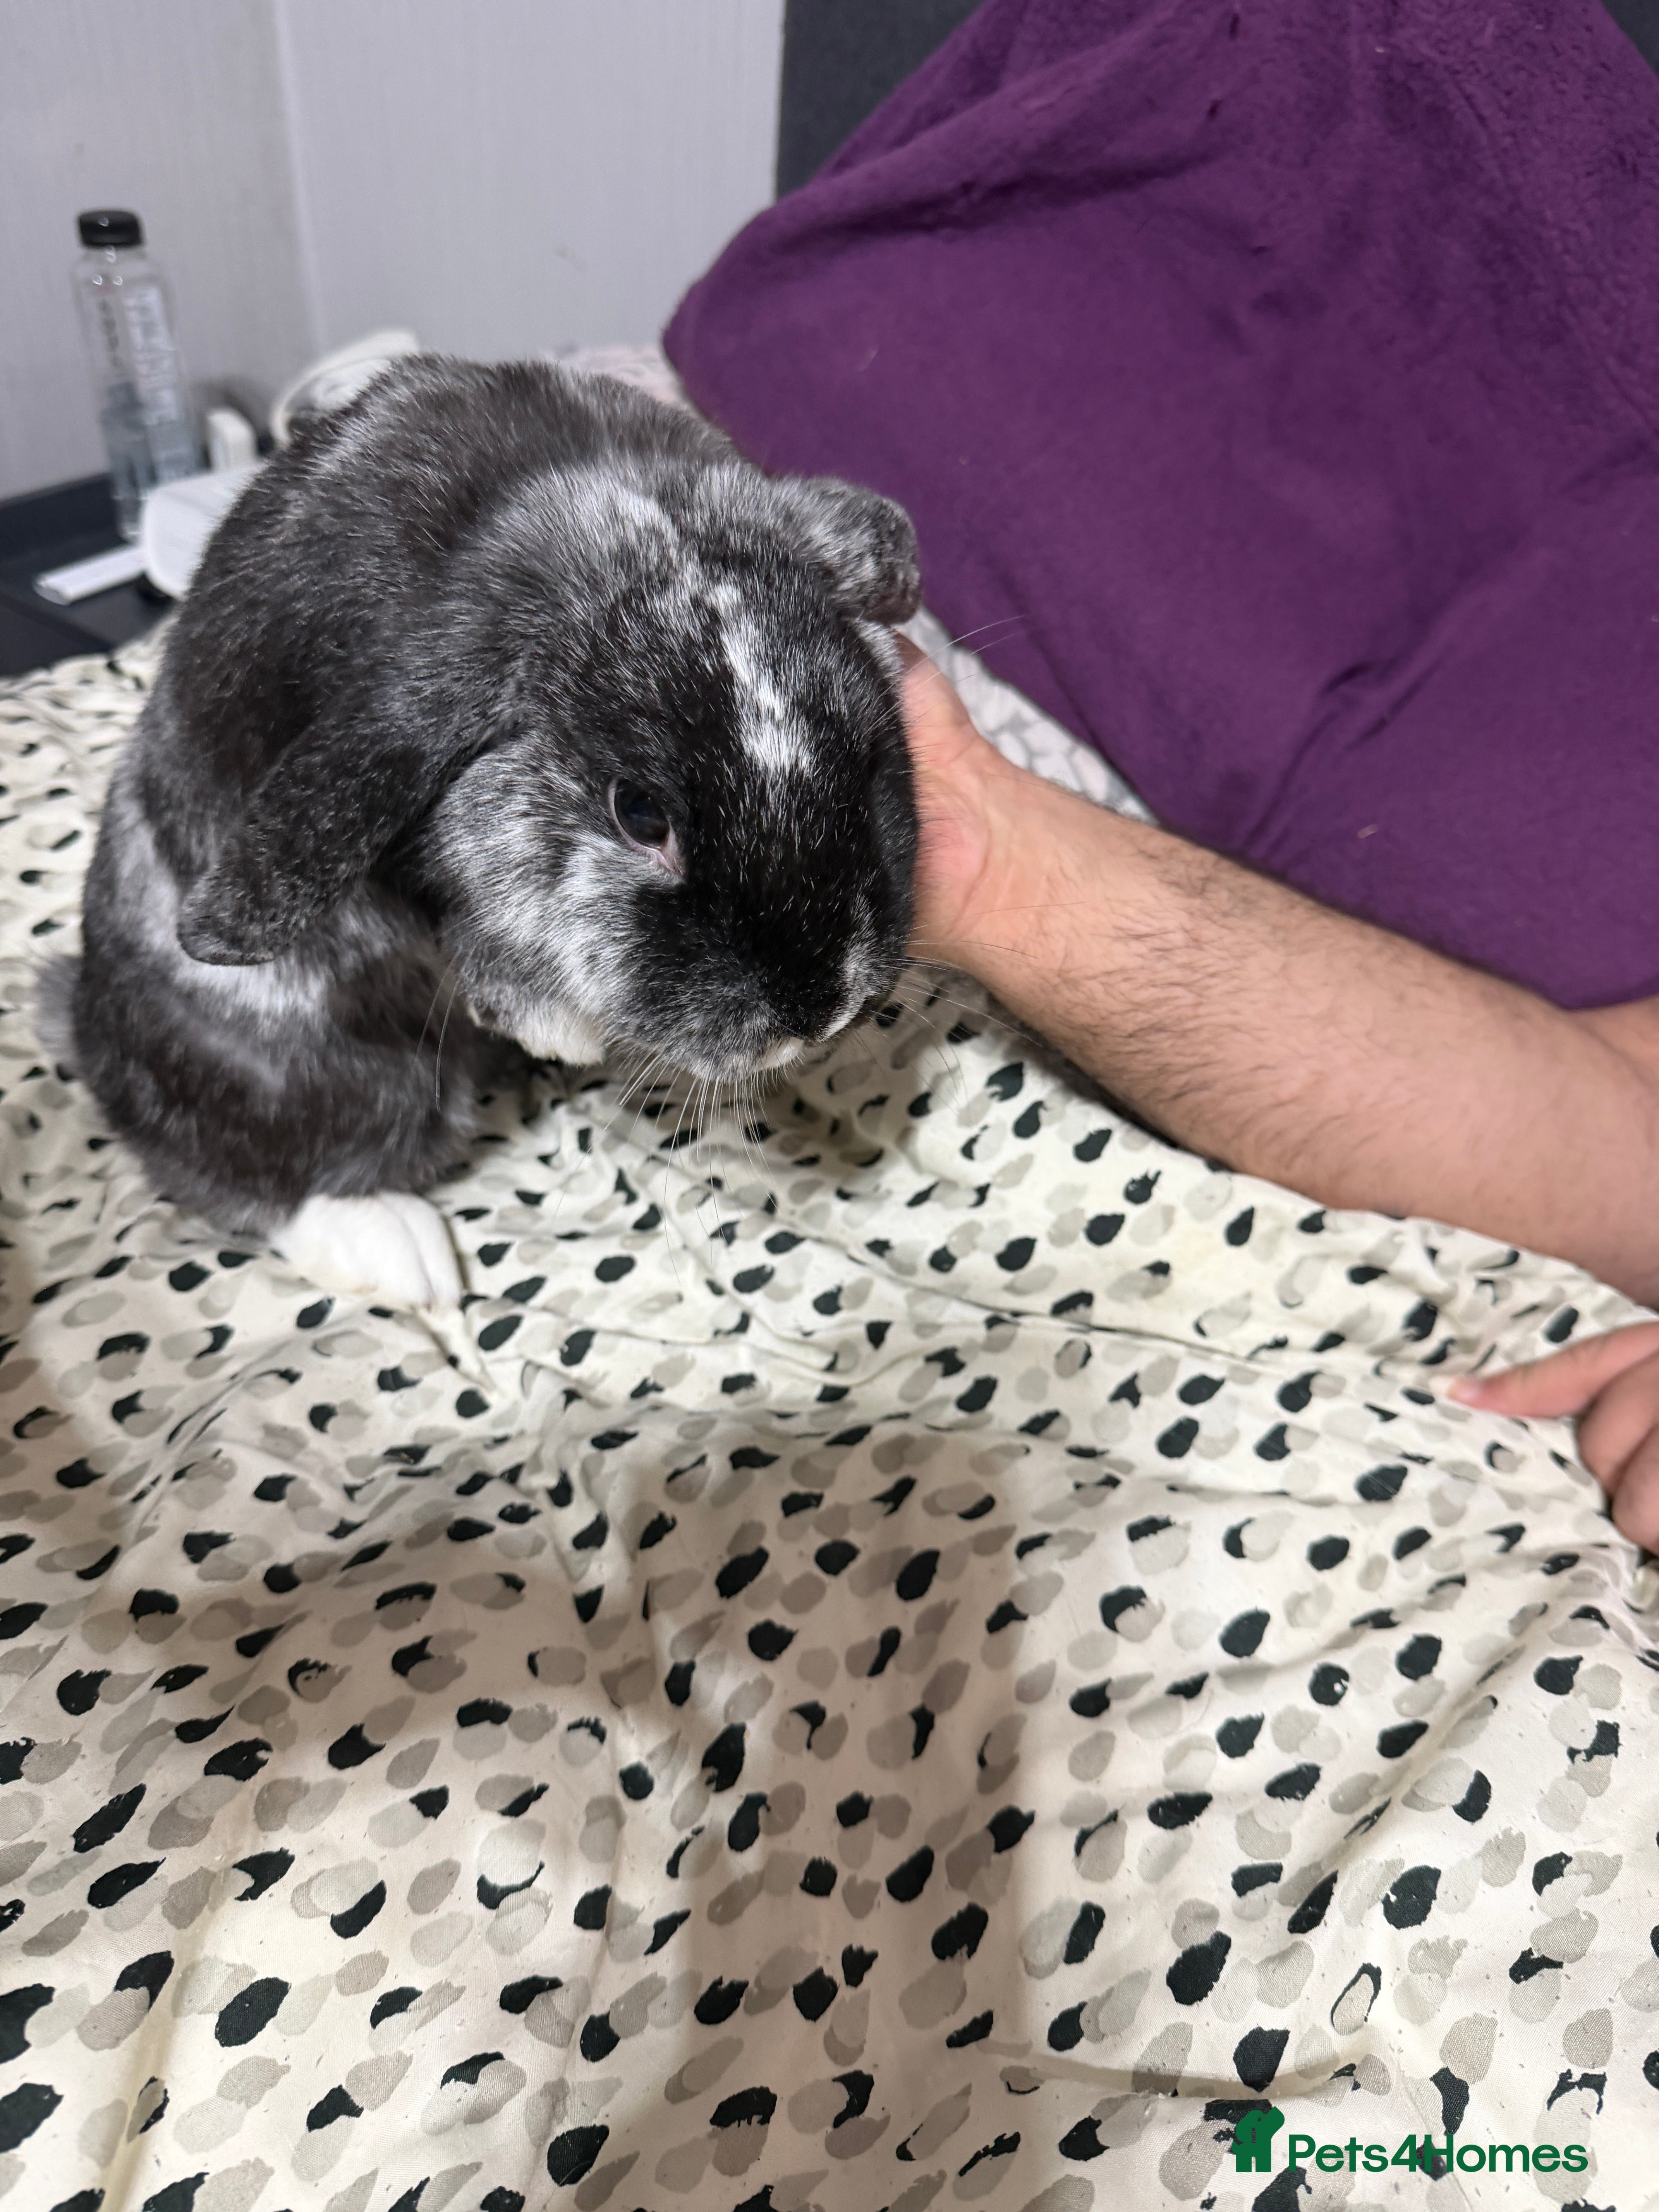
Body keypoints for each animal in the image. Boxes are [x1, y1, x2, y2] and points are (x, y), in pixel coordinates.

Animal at [48, 355, 921, 1309]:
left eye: (867, 757)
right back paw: (407, 1255)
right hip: (306, 1070)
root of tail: (86, 1023)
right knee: (253, 1170)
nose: (818, 1013)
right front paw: (560, 1031)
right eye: (639, 813)